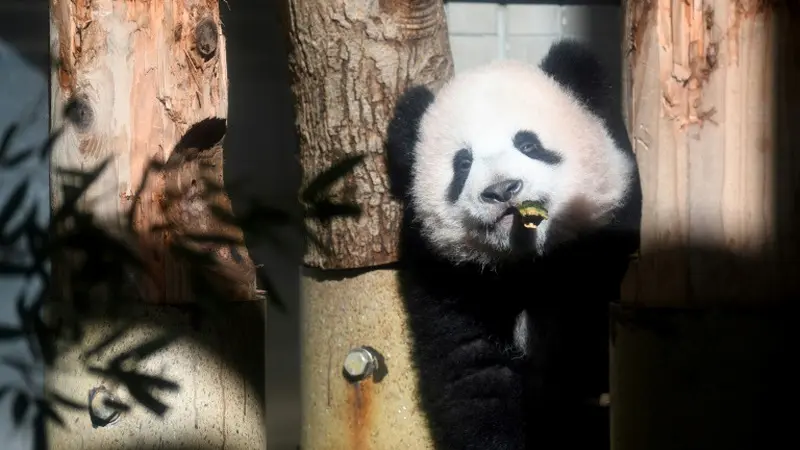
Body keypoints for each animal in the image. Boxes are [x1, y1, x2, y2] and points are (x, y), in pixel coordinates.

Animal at [384, 39, 640, 450]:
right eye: (463, 163)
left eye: (528, 144)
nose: (502, 190)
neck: (525, 263)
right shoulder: (451, 279)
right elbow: (475, 376)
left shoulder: (602, 247)